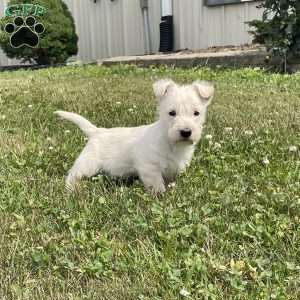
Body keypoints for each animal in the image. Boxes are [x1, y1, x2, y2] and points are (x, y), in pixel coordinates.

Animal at [54, 78, 213, 193]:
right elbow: (157, 185)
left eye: (196, 113)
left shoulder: (174, 168)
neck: (171, 142)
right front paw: (161, 196)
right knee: (73, 174)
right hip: (88, 163)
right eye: (172, 113)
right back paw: (70, 189)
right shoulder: (149, 167)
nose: (186, 132)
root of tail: (97, 131)